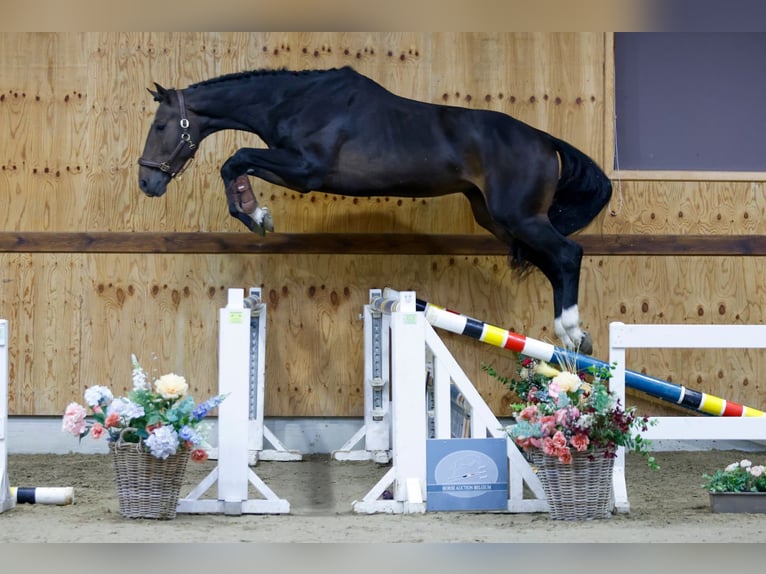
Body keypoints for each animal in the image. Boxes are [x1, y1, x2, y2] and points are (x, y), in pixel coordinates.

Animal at [138, 65, 616, 354]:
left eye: (161, 126)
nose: (147, 183)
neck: (296, 101)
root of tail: (545, 140)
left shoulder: (307, 169)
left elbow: (235, 158)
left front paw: (256, 216)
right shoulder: (294, 168)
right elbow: (236, 163)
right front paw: (254, 212)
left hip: (519, 217)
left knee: (567, 255)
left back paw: (572, 331)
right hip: (497, 219)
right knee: (552, 262)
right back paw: (572, 337)